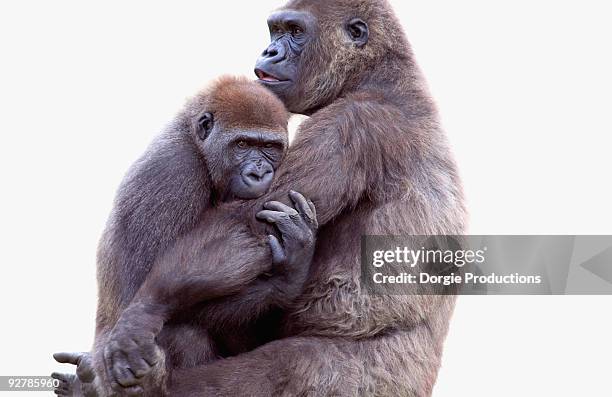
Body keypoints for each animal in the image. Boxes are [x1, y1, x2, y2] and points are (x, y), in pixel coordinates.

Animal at [52, 76, 318, 394]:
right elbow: (149, 293)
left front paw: (289, 273)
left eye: (270, 147)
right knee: (183, 334)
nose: (259, 173)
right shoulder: (174, 173)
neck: (193, 138)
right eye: (242, 144)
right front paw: (143, 313)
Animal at [167, 0, 464, 394]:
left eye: (295, 32)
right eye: (275, 30)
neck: (380, 74)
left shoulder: (352, 123)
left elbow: (244, 225)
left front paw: (142, 314)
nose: (270, 52)